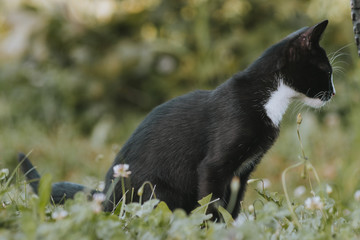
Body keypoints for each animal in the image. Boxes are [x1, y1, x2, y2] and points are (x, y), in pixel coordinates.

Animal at [19, 20, 334, 219]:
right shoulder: (214, 166)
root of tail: (106, 198)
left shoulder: (242, 172)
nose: (333, 93)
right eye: (326, 71)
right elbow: (212, 202)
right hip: (157, 191)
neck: (269, 98)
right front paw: (213, 228)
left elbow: (232, 204)